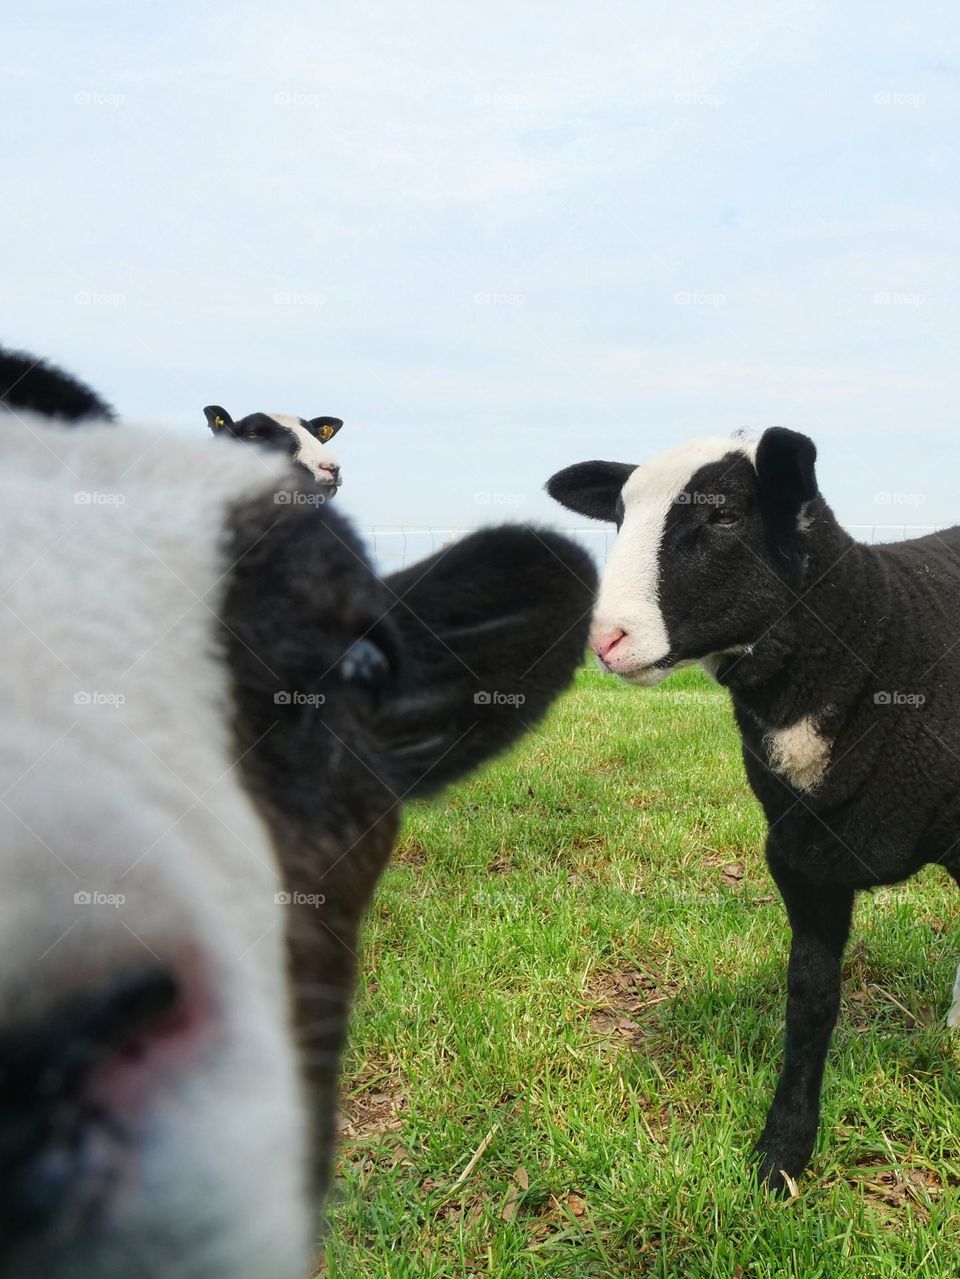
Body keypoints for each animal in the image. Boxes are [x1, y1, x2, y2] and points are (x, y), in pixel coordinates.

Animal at [552, 427, 960, 1186]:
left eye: (722, 517)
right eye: (619, 517)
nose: (605, 640)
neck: (875, 639)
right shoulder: (801, 856)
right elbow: (810, 1000)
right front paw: (784, 1153)